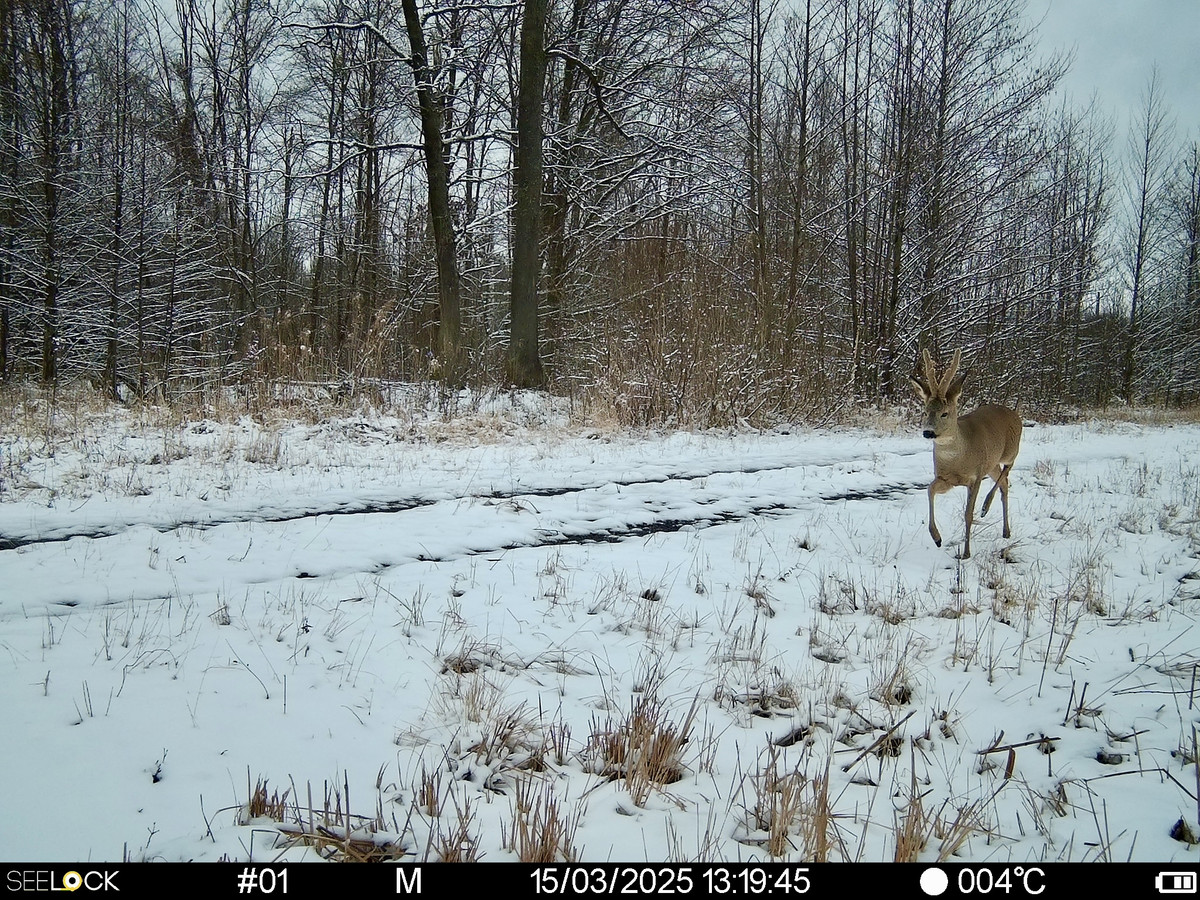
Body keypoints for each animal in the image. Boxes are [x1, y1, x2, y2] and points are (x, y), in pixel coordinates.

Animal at [907, 348, 1022, 561]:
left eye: (945, 413)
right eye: (925, 411)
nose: (928, 432)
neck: (958, 459)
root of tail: (1013, 413)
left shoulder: (975, 477)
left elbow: (968, 513)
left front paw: (966, 553)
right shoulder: (946, 478)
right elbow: (929, 490)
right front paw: (937, 538)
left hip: (1010, 450)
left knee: (1008, 469)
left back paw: (986, 506)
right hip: (992, 463)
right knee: (1004, 482)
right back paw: (1006, 531)